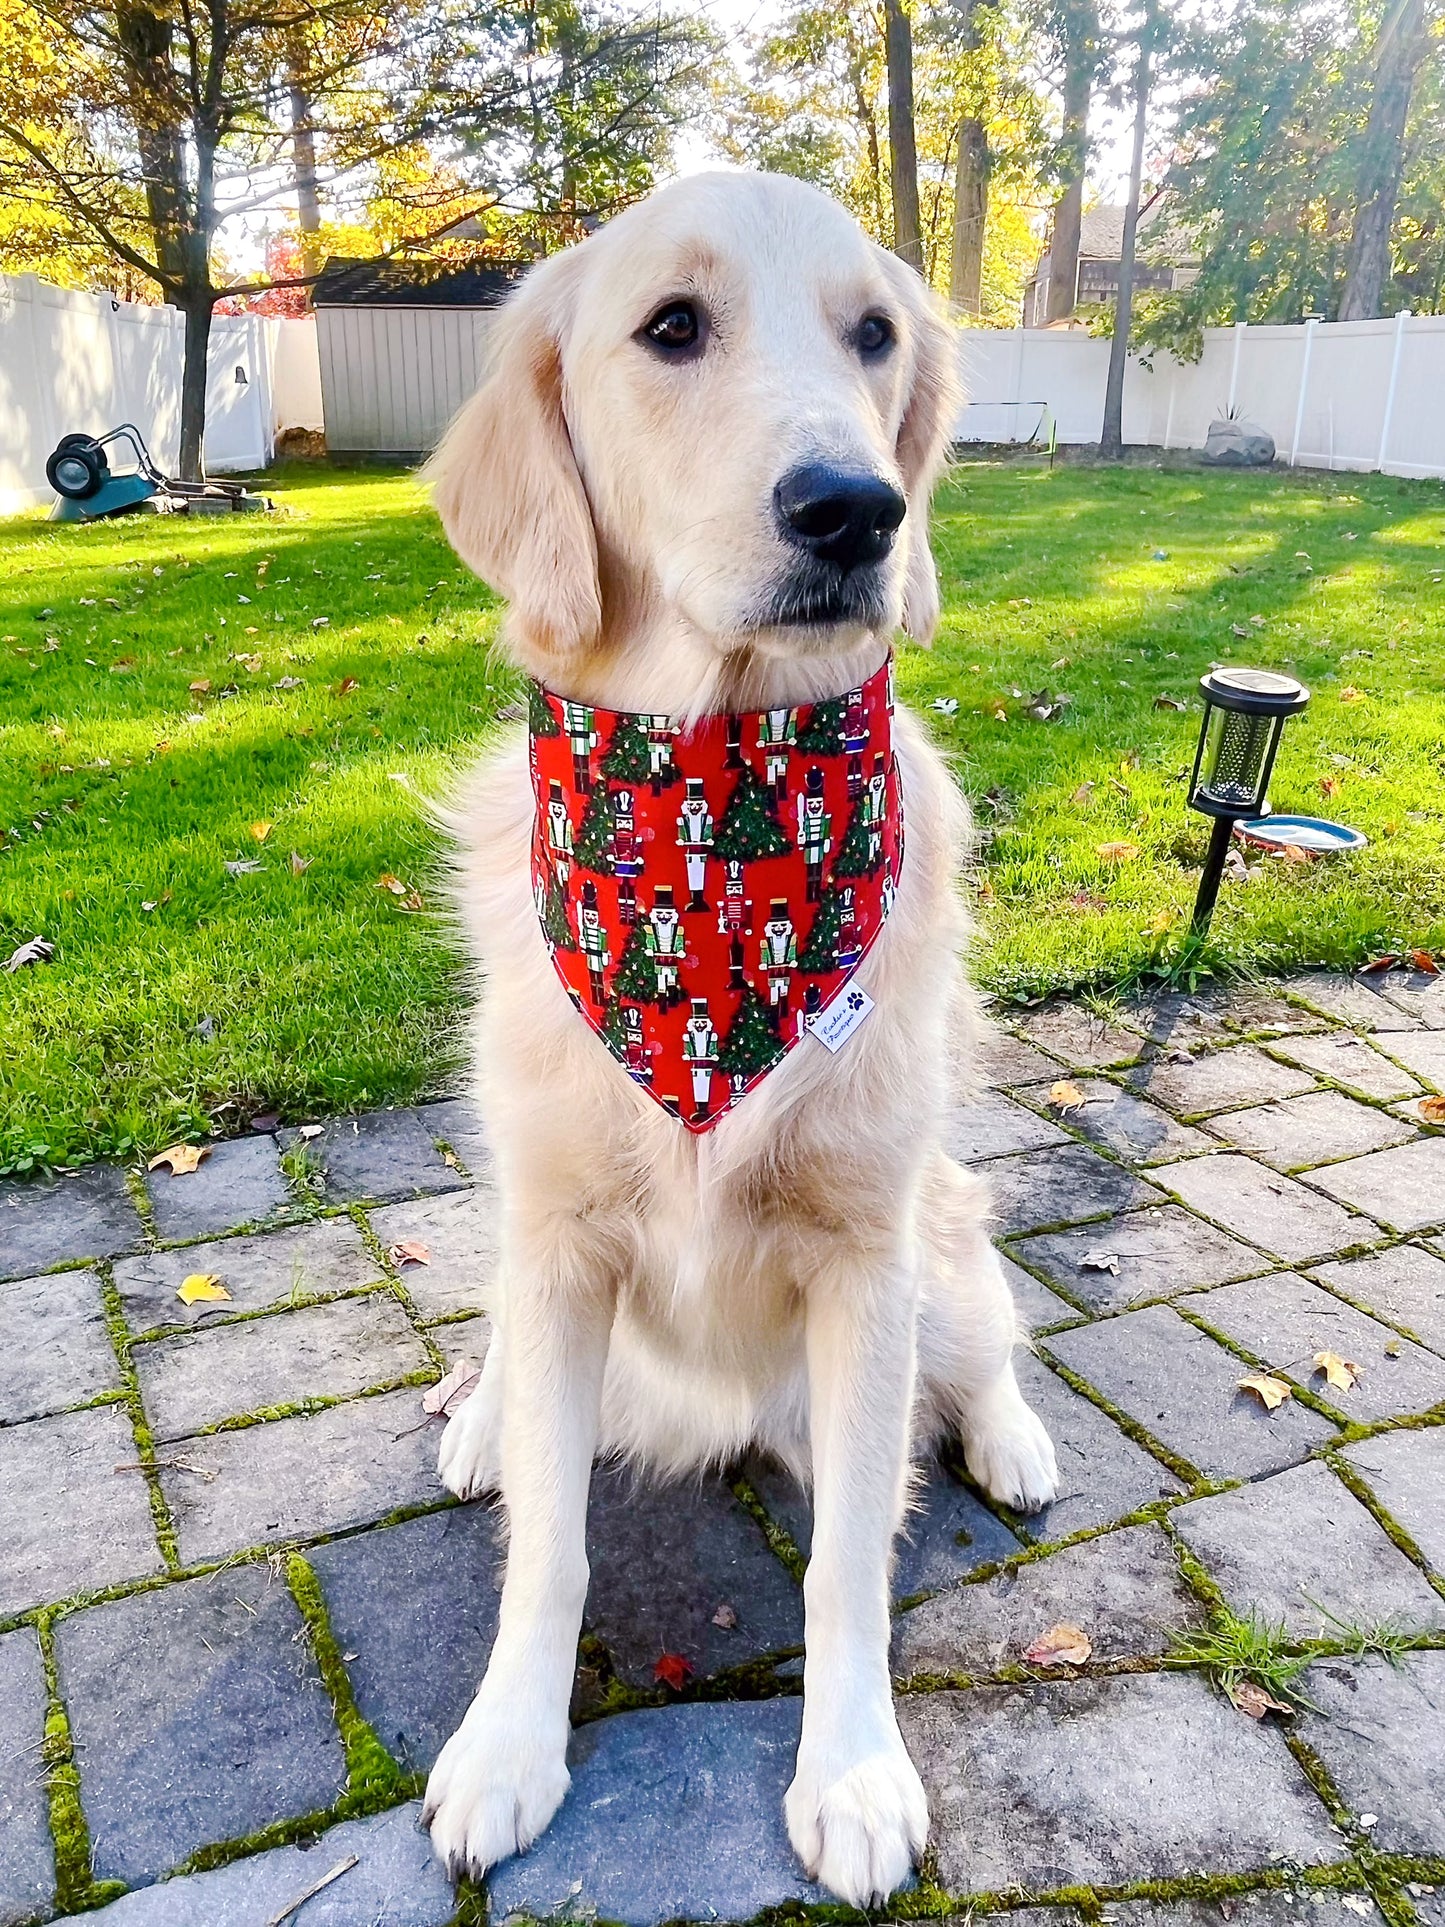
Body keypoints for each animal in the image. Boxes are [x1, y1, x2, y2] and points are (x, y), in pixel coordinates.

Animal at [423, 169, 1055, 1911]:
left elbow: (848, 1557)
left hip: (936, 1241)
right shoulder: (557, 1235)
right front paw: (508, 1745)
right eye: (671, 328)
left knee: (985, 1337)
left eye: (875, 335)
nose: (857, 512)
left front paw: (850, 1771)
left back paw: (1016, 1434)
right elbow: (550, 1545)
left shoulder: (863, 1255)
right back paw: (480, 1414)